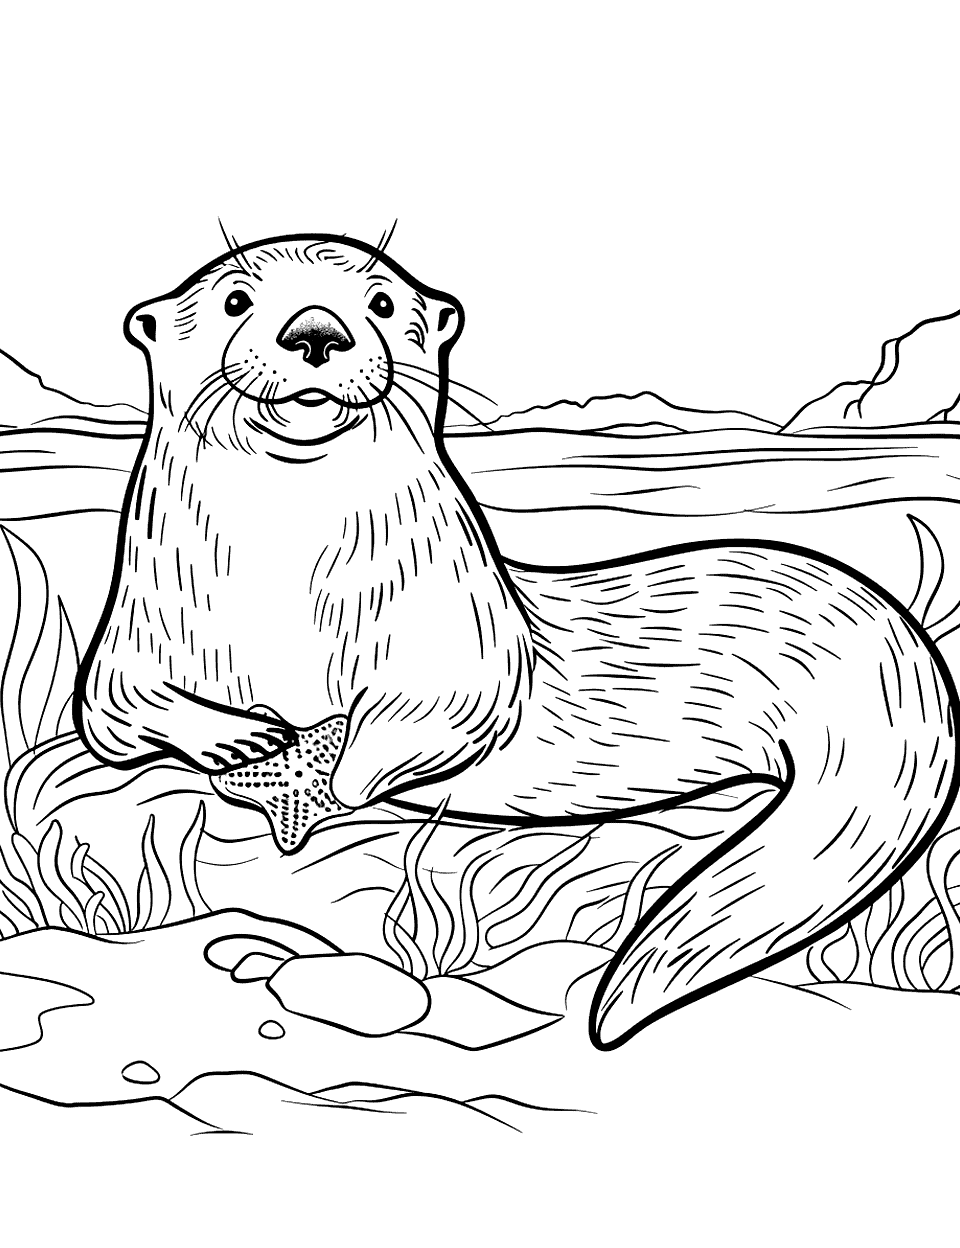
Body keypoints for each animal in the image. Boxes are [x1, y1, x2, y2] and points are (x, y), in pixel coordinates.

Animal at [74, 234, 960, 1050]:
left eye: (382, 303)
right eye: (234, 301)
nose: (317, 331)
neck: (284, 584)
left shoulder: (463, 636)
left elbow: (444, 711)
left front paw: (332, 781)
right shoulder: (139, 626)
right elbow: (114, 709)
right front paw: (235, 739)